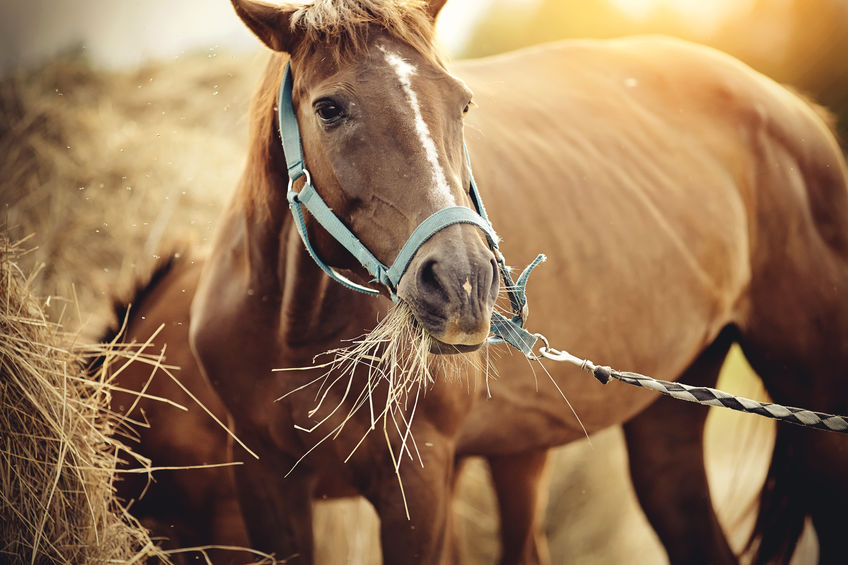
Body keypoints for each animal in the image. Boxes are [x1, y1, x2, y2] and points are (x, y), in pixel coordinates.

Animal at [111, 0, 848, 560]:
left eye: (462, 104)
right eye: (329, 109)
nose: (463, 284)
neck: (295, 333)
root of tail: (794, 109)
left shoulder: (418, 480)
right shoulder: (265, 486)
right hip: (667, 420)